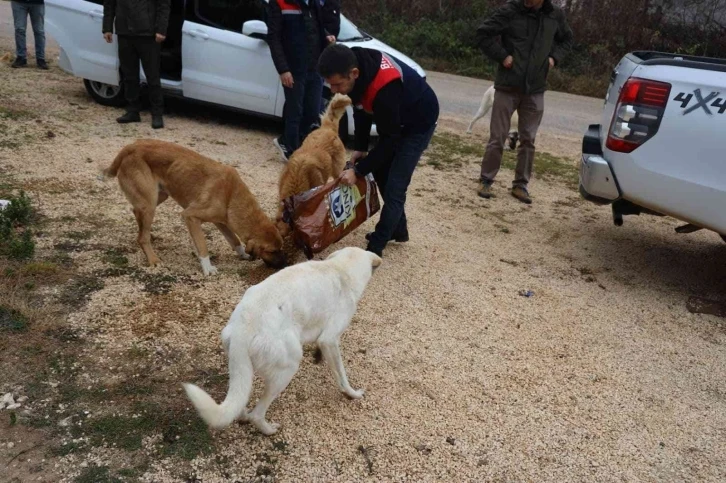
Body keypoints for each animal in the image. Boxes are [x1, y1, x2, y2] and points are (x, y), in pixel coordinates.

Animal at [105, 140, 288, 276]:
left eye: (281, 247)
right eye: (273, 251)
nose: (286, 264)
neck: (231, 195)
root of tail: (130, 147)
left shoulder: (221, 221)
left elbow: (234, 240)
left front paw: (242, 254)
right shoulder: (190, 216)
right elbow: (202, 245)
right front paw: (208, 268)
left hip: (157, 197)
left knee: (137, 214)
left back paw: (150, 234)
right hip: (149, 203)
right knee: (141, 237)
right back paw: (153, 259)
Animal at [185, 248, 384, 436]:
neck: (339, 268)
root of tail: (243, 328)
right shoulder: (330, 340)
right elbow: (342, 376)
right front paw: (352, 393)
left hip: (243, 369)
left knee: (239, 401)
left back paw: (242, 416)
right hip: (287, 369)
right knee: (257, 414)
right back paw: (267, 429)